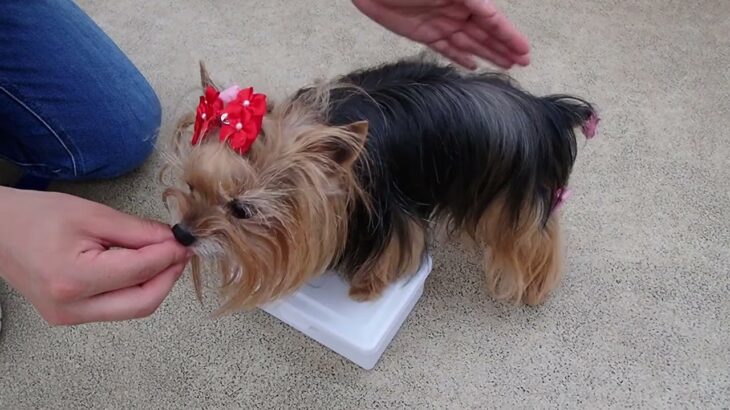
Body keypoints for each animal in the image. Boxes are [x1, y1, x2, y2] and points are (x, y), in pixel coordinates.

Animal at [161, 52, 596, 312]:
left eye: (241, 210)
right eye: (192, 186)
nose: (182, 233)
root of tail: (547, 111)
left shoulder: (392, 221)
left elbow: (392, 256)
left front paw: (364, 289)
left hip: (512, 196)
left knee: (535, 239)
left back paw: (534, 288)